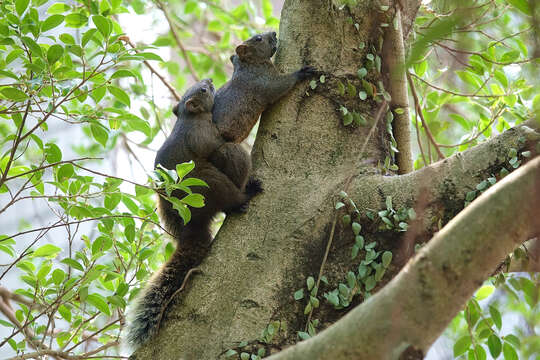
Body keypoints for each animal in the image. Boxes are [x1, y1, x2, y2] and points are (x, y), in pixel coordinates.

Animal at [126, 79, 262, 348]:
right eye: (203, 91)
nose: (208, 81)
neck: (190, 118)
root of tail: (192, 225)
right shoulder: (202, 135)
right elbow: (219, 141)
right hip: (209, 183)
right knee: (230, 161)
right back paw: (245, 195)